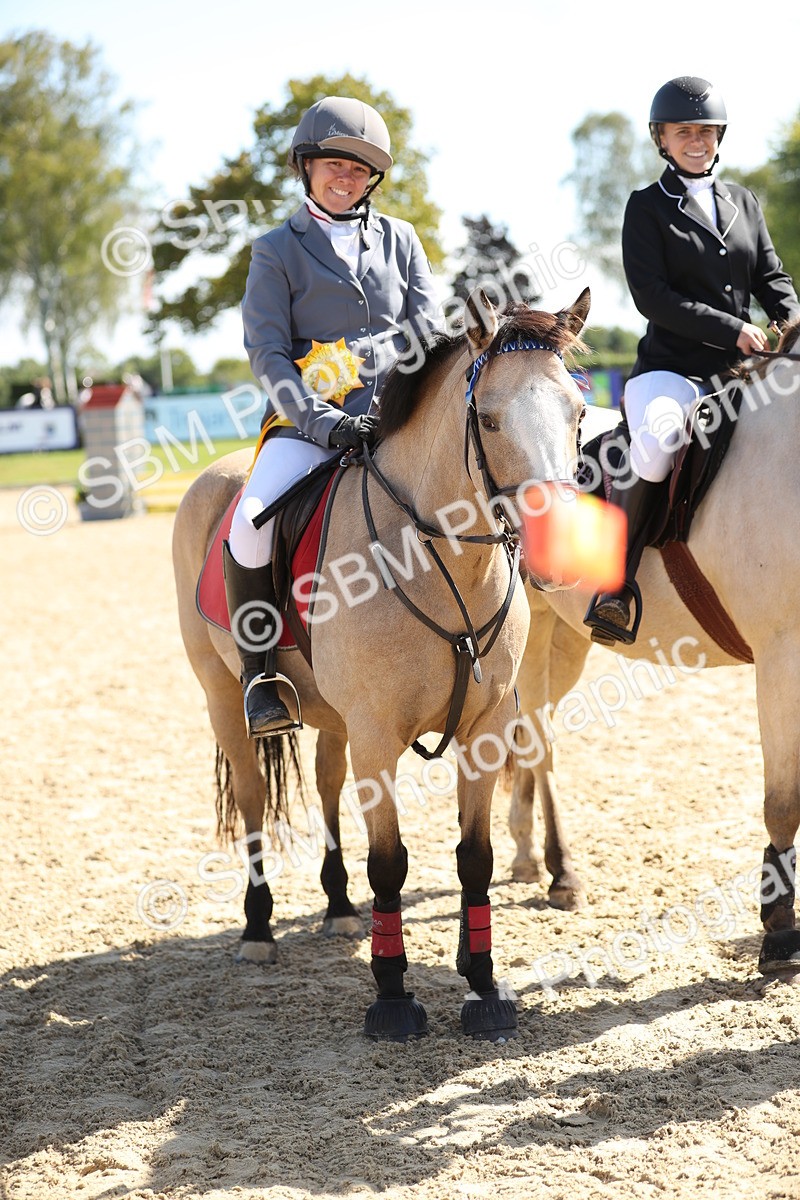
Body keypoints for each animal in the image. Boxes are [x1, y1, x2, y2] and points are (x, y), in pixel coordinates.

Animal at [172, 287, 590, 1041]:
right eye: (488, 417)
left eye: (576, 411)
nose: (558, 549)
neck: (440, 562)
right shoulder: (376, 735)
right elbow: (391, 863)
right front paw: (393, 998)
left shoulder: (484, 731)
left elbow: (475, 858)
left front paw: (483, 984)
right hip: (223, 695)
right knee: (252, 800)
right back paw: (258, 931)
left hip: (333, 717)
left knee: (327, 783)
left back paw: (339, 910)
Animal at [508, 320, 800, 980]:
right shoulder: (782, 656)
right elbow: (783, 801)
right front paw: (779, 933)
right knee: (533, 739)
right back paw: (561, 873)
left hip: (561, 636)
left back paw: (527, 856)